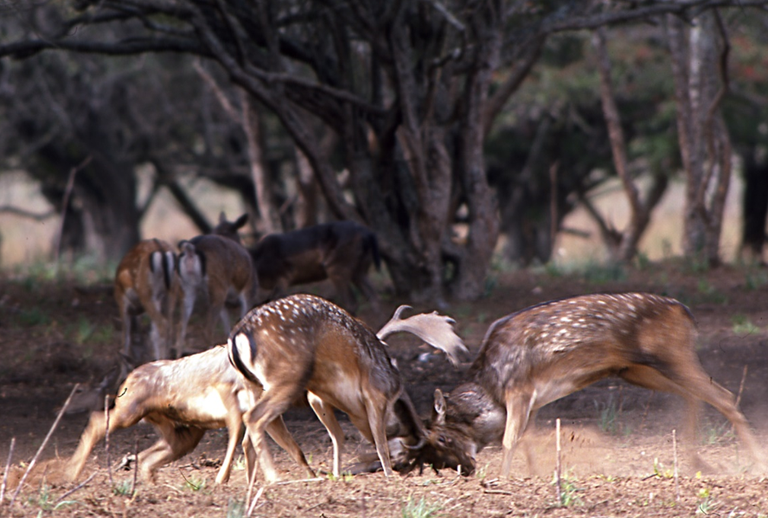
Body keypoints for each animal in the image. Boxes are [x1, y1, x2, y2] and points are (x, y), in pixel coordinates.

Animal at [226, 294, 468, 486]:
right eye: (443, 440)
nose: (465, 466)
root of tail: (238, 335)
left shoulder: (318, 397)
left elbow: (338, 436)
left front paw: (336, 474)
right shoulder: (376, 393)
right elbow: (380, 442)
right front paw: (389, 476)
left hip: (256, 384)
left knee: (258, 430)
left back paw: (252, 483)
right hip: (288, 377)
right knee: (255, 418)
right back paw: (275, 478)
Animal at [404, 292, 764, 480]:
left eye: (442, 437)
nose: (465, 470)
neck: (491, 385)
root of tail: (685, 312)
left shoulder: (520, 390)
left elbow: (509, 440)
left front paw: (503, 479)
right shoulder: (533, 399)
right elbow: (525, 439)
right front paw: (534, 476)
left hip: (671, 355)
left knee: (724, 396)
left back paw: (756, 460)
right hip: (636, 370)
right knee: (696, 396)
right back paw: (698, 463)